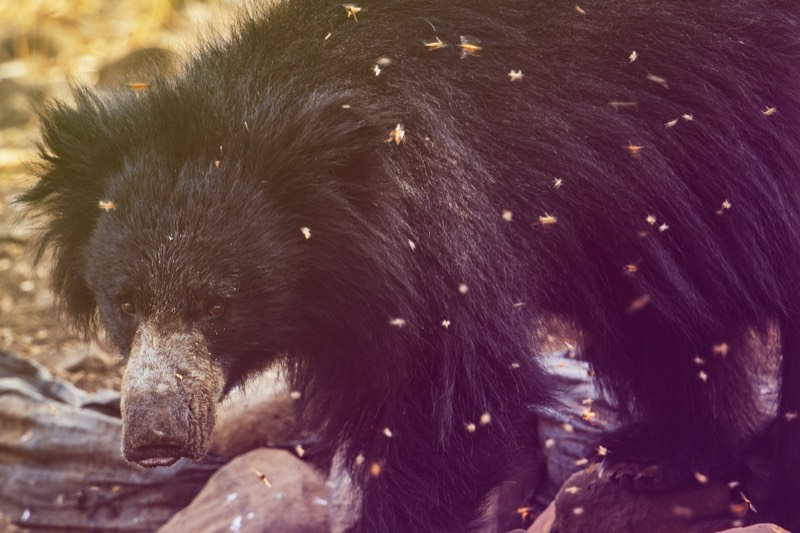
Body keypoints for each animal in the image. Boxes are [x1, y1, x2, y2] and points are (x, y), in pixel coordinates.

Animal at [20, 0, 800, 531]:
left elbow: (440, 411)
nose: (156, 434)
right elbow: (661, 321)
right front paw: (657, 456)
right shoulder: (633, 204)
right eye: (125, 301)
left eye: (219, 303)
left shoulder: (441, 220)